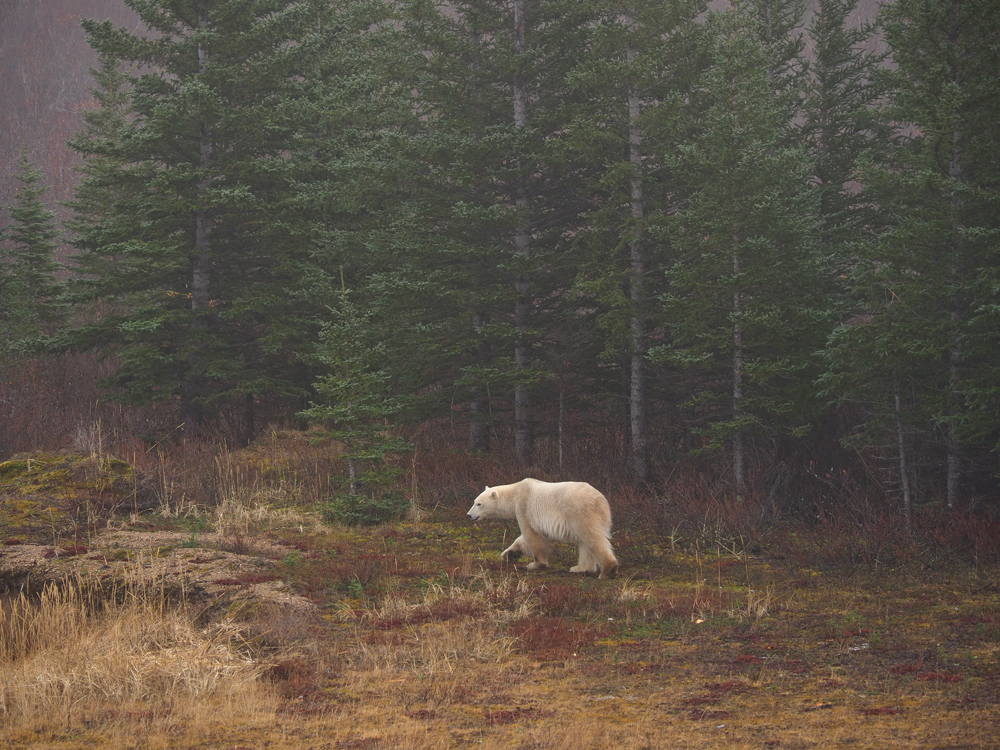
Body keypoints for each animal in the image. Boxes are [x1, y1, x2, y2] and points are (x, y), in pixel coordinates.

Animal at [466, 478, 616, 580]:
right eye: (474, 501)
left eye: (479, 504)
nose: (469, 515)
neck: (515, 492)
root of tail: (601, 501)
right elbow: (523, 540)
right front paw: (509, 554)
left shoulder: (524, 507)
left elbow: (532, 536)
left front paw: (535, 564)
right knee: (585, 542)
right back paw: (580, 568)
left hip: (579, 511)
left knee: (591, 537)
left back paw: (607, 570)